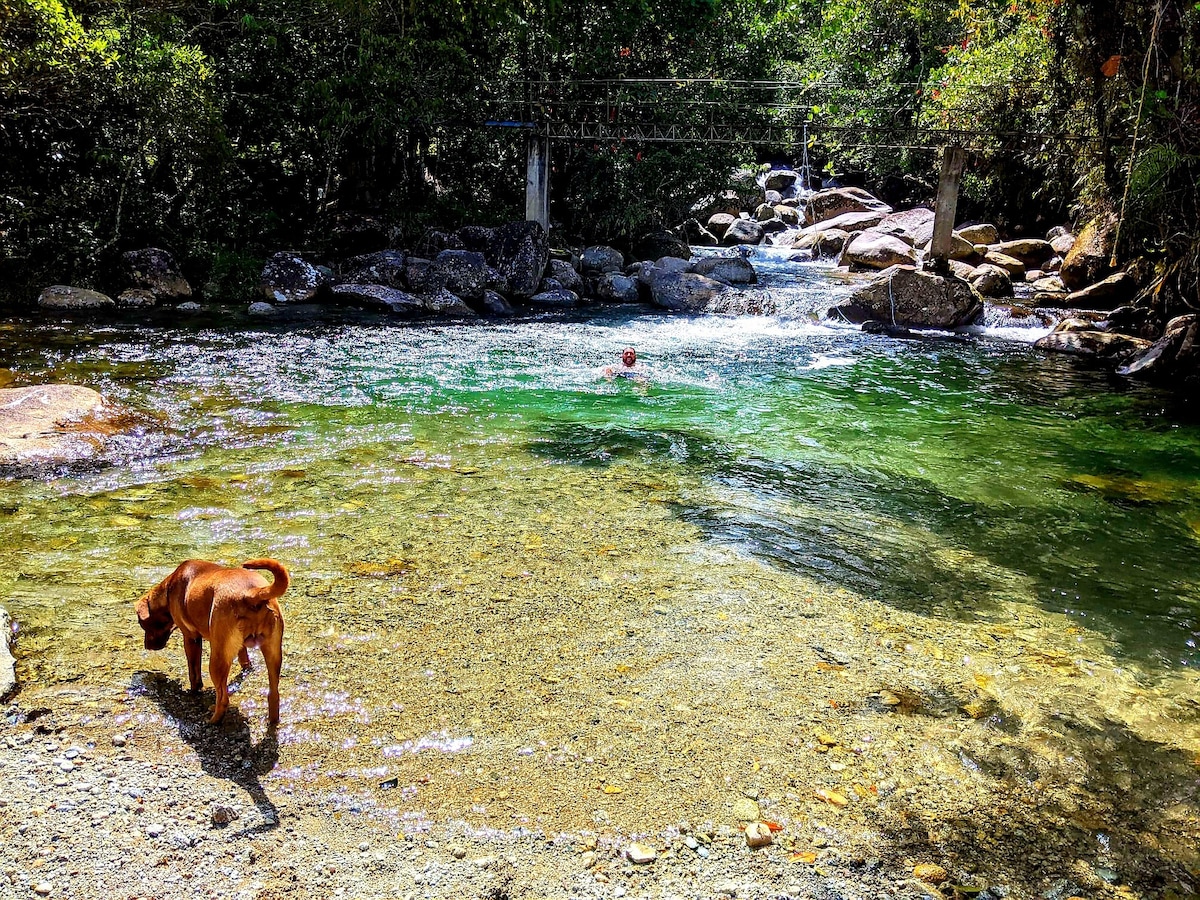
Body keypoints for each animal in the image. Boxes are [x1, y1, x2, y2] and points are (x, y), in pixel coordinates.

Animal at [136, 556, 288, 724]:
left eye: (142, 624)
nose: (146, 646)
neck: (169, 589)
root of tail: (251, 593)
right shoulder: (240, 646)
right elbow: (244, 658)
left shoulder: (191, 638)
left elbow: (194, 673)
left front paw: (194, 691)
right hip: (274, 655)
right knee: (273, 695)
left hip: (217, 660)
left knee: (223, 698)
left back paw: (213, 720)